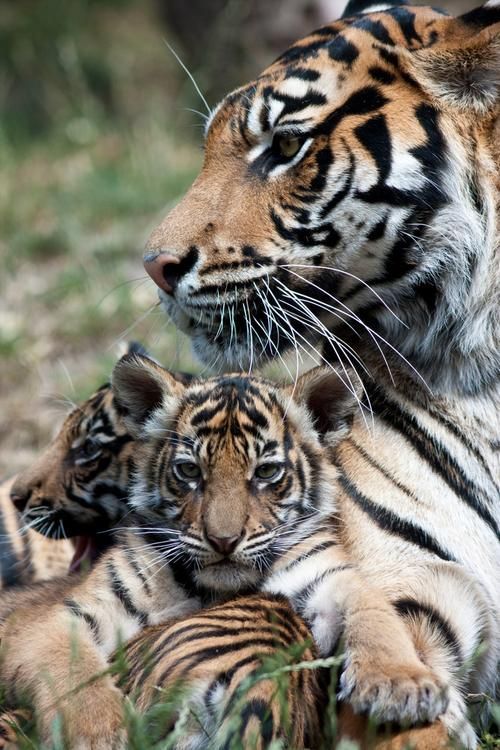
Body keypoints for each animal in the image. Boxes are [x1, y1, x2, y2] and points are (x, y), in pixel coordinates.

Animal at [0, 353, 457, 749]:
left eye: (266, 472)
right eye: (189, 470)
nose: (223, 540)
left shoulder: (326, 575)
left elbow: (375, 610)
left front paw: (400, 684)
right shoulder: (61, 616)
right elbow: (70, 667)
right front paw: (97, 734)